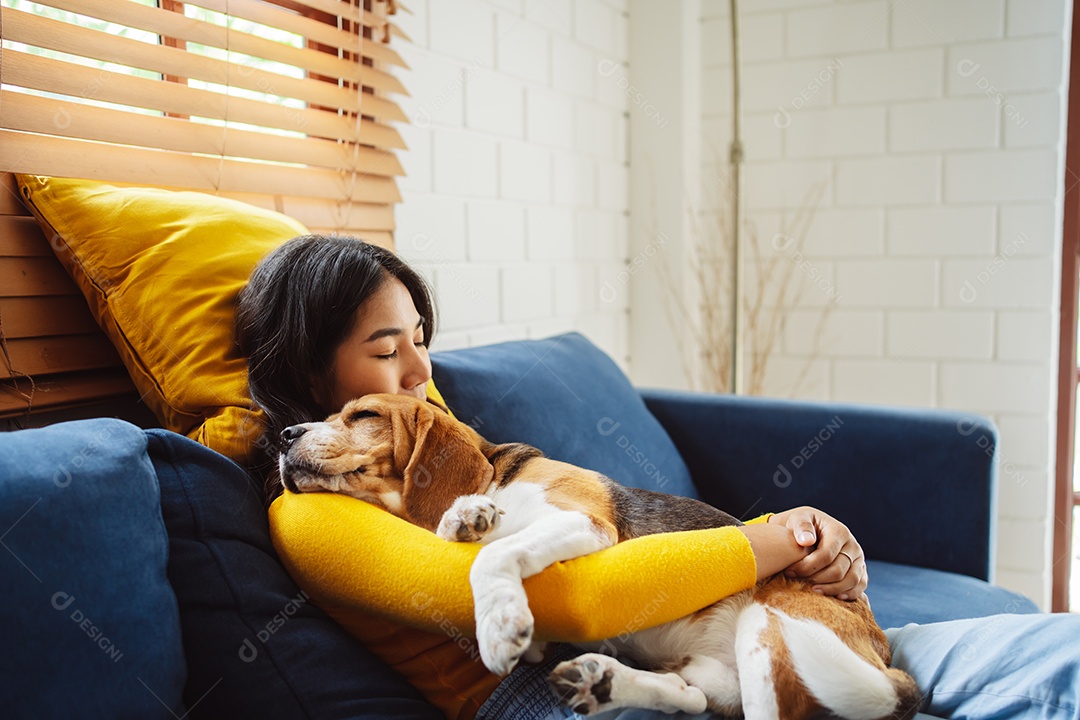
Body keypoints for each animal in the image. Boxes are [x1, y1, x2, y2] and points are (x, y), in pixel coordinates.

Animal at [278, 395, 920, 720]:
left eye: (363, 416)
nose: (284, 435)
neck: (497, 473)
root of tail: (887, 659)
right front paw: (468, 518)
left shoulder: (584, 523)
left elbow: (493, 556)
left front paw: (498, 622)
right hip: (720, 675)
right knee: (691, 696)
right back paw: (604, 682)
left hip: (768, 629)